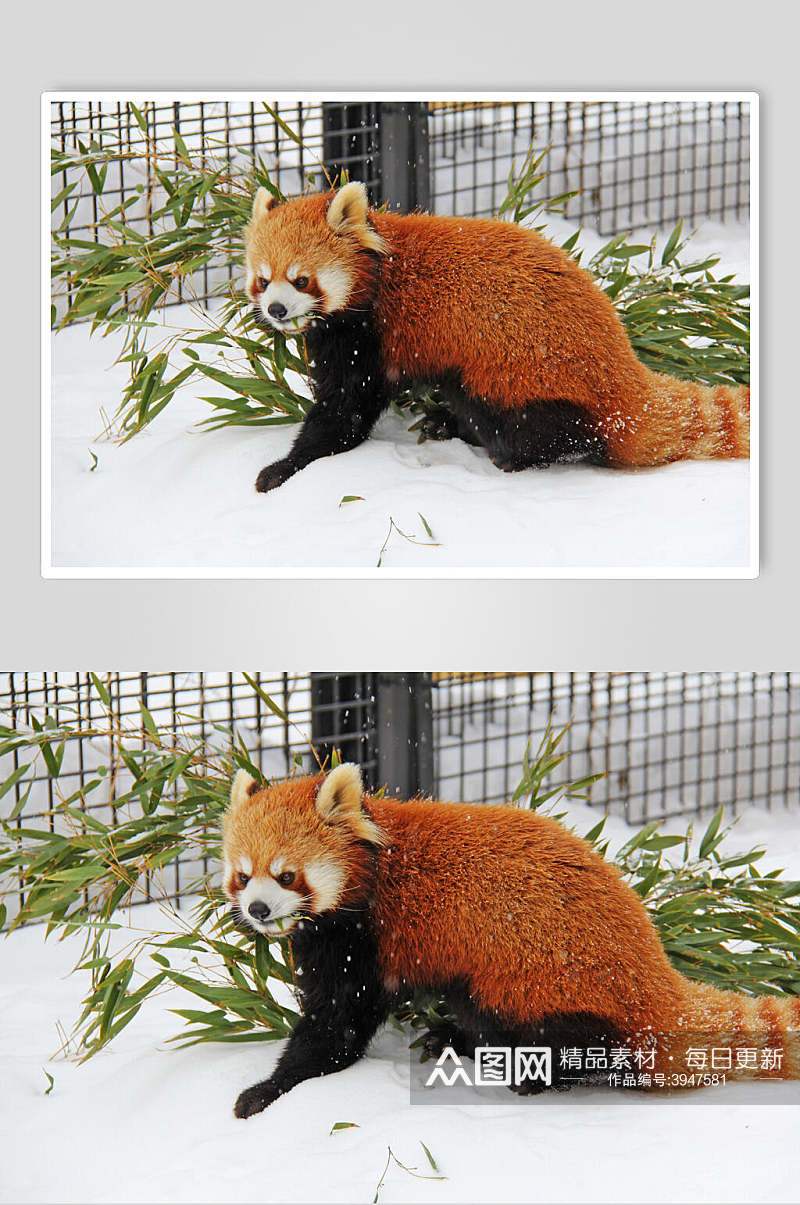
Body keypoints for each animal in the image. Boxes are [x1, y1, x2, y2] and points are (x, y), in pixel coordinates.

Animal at [221, 766, 795, 1113]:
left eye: (287, 876)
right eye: (243, 876)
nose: (258, 910)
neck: (371, 869)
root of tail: (655, 970)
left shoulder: (363, 936)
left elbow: (337, 1023)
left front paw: (270, 1088)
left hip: (540, 975)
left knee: (570, 1036)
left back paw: (537, 1073)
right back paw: (456, 1040)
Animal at [243, 183, 751, 494]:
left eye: (302, 280)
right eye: (263, 281)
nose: (277, 311)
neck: (376, 274)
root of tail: (627, 371)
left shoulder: (368, 334)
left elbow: (345, 410)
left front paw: (285, 466)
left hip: (521, 371)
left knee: (540, 425)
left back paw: (513, 453)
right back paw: (446, 424)